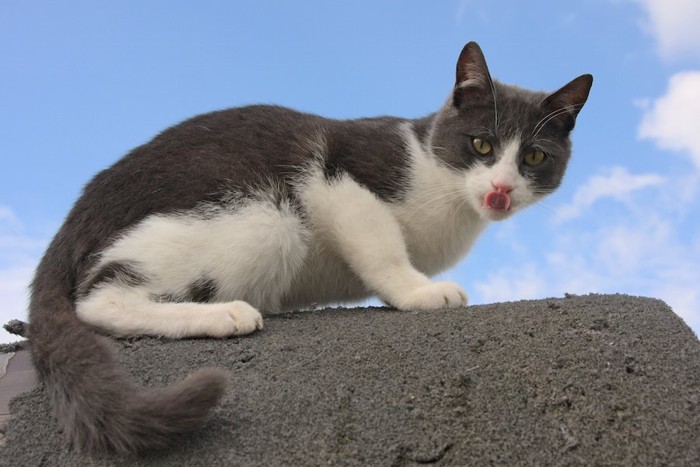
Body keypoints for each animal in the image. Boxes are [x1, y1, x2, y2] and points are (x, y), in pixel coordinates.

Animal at [27, 42, 592, 456]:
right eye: (481, 144)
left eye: (534, 157)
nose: (500, 189)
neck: (441, 181)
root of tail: (77, 217)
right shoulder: (338, 173)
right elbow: (380, 246)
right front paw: (417, 292)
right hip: (267, 214)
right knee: (99, 299)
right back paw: (223, 314)